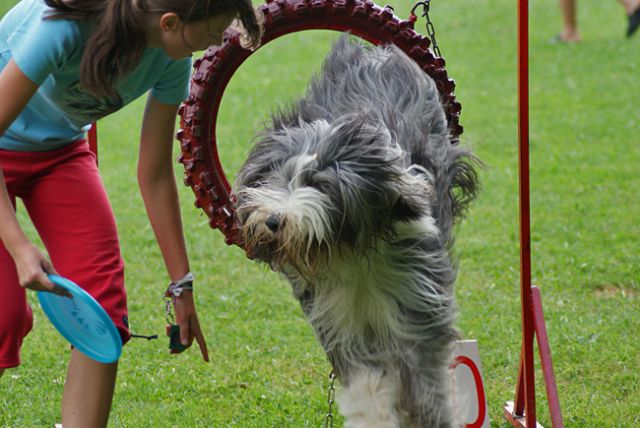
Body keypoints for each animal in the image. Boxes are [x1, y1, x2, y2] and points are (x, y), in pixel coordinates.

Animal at [232, 36, 478, 428]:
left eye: (321, 185)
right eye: (282, 176)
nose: (274, 221)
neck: (351, 250)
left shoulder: (415, 295)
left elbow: (424, 371)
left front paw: (430, 415)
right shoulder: (339, 315)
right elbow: (365, 378)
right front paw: (374, 416)